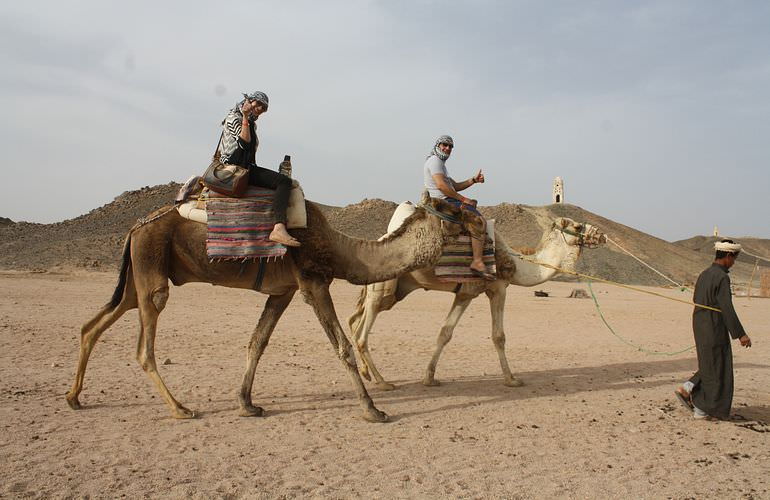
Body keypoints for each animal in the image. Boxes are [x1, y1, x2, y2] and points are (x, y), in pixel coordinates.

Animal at [64, 192, 462, 422]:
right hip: (151, 270)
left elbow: (258, 342)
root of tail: (134, 227)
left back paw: (73, 398)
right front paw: (372, 409)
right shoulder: (313, 283)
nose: (472, 219)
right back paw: (180, 408)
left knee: (93, 324)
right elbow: (342, 346)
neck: (338, 249)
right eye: (449, 210)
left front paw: (247, 403)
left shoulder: (283, 290)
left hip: (137, 278)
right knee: (144, 346)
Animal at [348, 207, 608, 390]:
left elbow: (445, 332)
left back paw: (367, 374)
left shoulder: (466, 293)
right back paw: (383, 382)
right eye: (577, 225)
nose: (601, 235)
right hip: (383, 289)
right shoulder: (498, 288)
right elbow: (499, 336)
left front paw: (429, 378)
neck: (516, 263)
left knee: (357, 324)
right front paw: (512, 379)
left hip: (392, 292)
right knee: (361, 335)